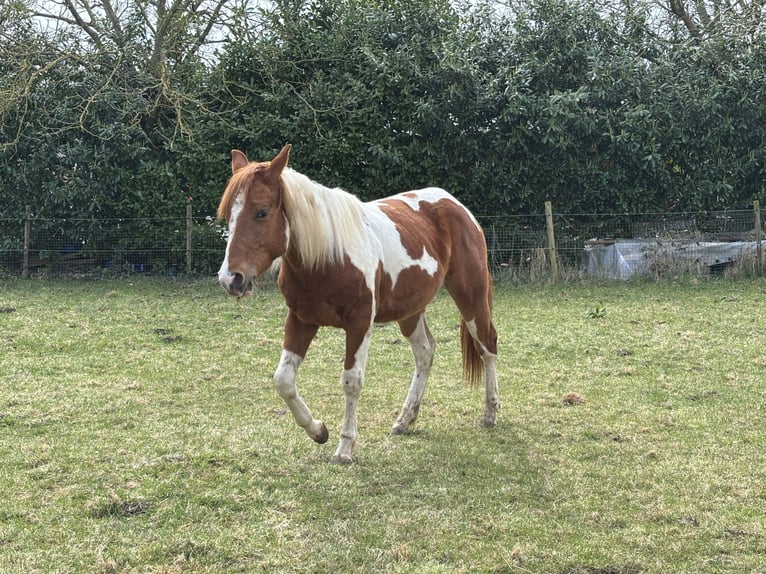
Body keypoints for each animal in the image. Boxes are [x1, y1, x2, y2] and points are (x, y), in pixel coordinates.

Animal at [217, 145, 499, 463]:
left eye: (262, 212)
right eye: (227, 216)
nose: (231, 278)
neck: (327, 256)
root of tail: (458, 207)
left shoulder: (360, 323)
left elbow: (351, 381)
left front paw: (345, 448)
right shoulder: (301, 320)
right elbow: (284, 380)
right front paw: (318, 431)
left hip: (470, 296)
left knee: (487, 346)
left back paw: (489, 414)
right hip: (411, 311)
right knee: (425, 353)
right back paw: (405, 420)